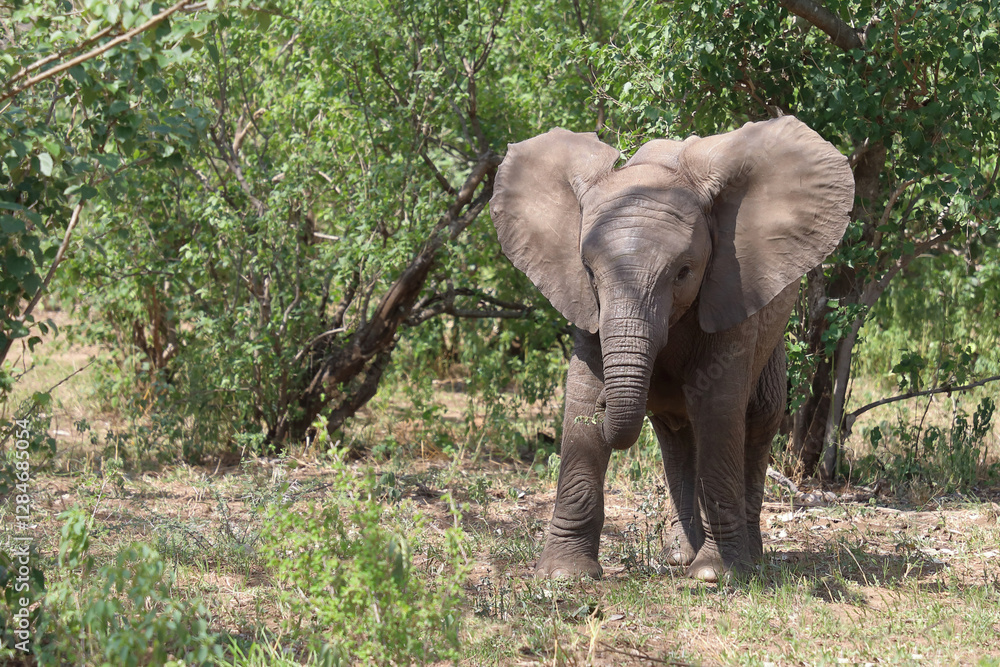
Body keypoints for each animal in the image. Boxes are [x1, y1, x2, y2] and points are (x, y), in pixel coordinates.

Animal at [489, 116, 854, 582]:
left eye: (683, 272)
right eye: (589, 271)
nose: (610, 402)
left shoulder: (731, 288)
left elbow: (717, 405)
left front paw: (716, 575)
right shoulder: (584, 303)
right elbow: (582, 397)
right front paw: (564, 575)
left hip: (773, 336)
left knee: (757, 420)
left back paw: (747, 558)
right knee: (677, 435)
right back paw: (680, 556)